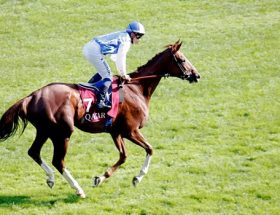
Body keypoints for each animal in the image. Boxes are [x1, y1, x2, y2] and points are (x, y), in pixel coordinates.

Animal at [0, 40, 201, 198]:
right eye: (182, 59)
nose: (196, 75)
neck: (137, 88)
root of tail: (32, 96)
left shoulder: (116, 132)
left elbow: (123, 156)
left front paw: (100, 178)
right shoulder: (130, 130)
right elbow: (150, 149)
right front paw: (137, 177)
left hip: (44, 130)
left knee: (33, 152)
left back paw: (51, 179)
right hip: (62, 132)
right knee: (58, 161)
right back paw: (78, 189)